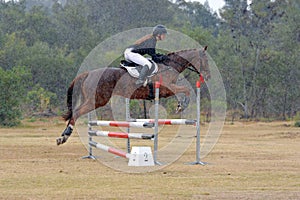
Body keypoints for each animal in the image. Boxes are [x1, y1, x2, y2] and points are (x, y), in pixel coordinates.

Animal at [56, 46, 211, 145]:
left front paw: (180, 105)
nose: (208, 76)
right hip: (98, 100)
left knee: (75, 112)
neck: (169, 66)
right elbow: (186, 89)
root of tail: (88, 73)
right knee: (76, 113)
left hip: (92, 99)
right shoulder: (167, 89)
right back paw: (64, 136)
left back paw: (63, 136)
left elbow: (184, 90)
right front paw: (181, 106)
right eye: (205, 60)